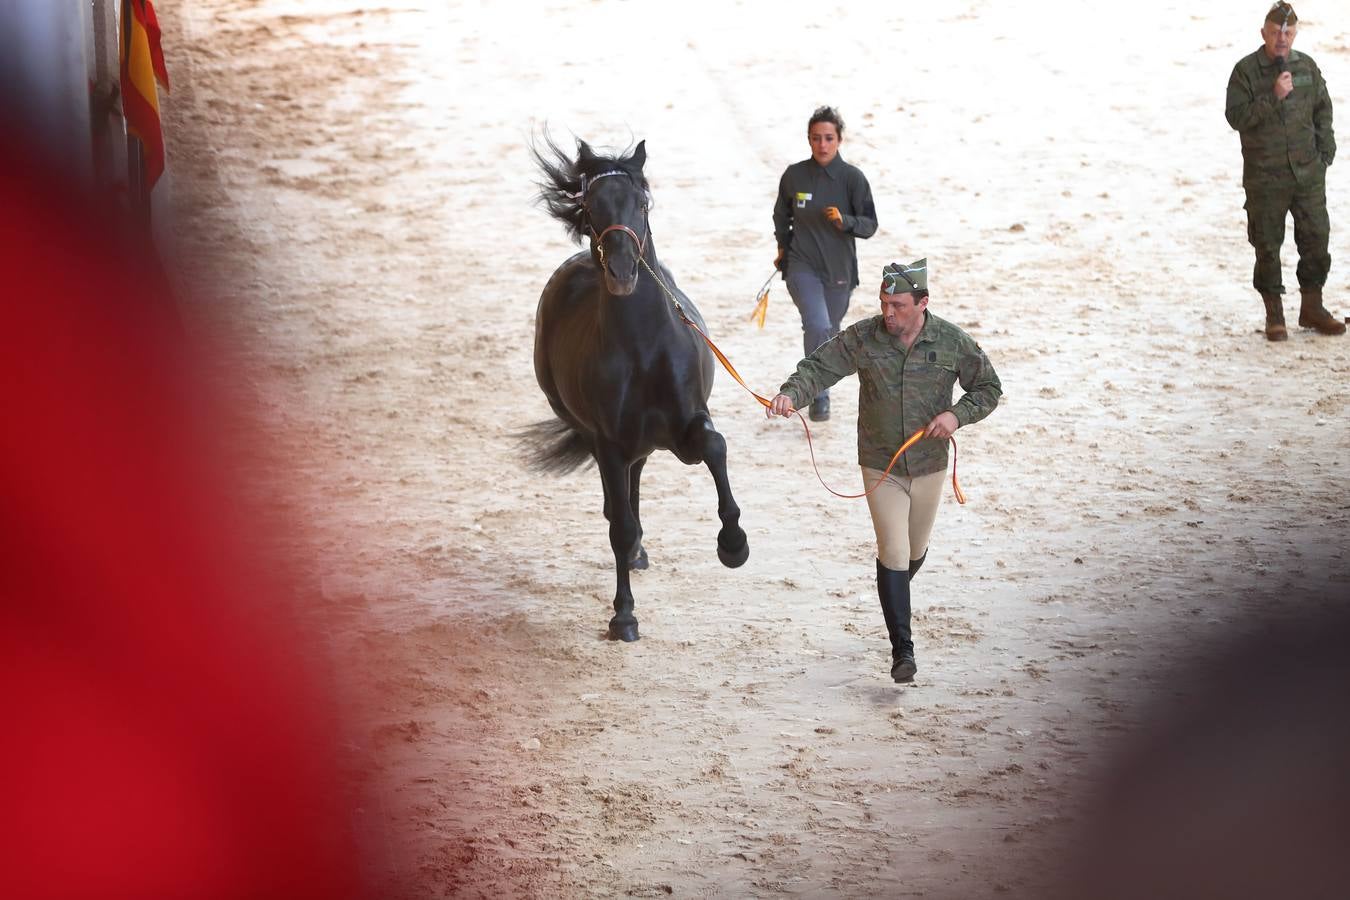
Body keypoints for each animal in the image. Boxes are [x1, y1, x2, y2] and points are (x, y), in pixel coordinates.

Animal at [523, 135, 750, 639]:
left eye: (642, 204)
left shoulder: (688, 425)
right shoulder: (608, 441)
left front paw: (733, 544)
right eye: (591, 208)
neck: (644, 348)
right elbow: (619, 525)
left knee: (636, 483)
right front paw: (623, 616)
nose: (623, 272)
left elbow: (716, 446)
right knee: (620, 504)